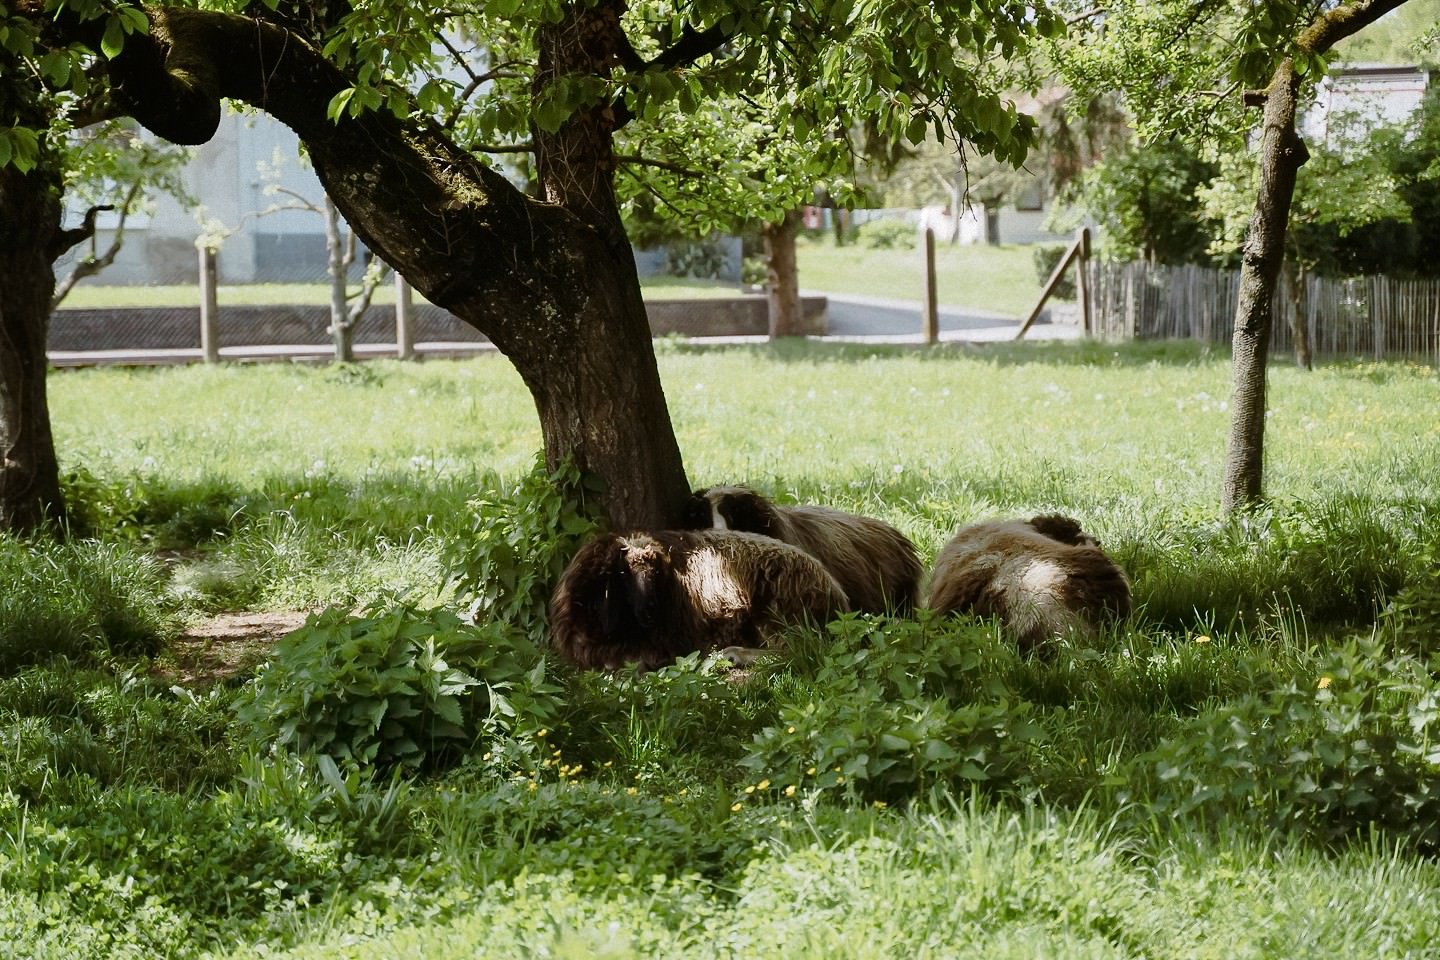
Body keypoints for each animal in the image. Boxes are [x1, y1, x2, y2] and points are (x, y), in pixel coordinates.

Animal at [549, 529, 851, 671]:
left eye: (653, 572)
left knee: (799, 649)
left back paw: (733, 654)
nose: (649, 610)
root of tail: (839, 597)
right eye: (623, 572)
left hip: (777, 610)